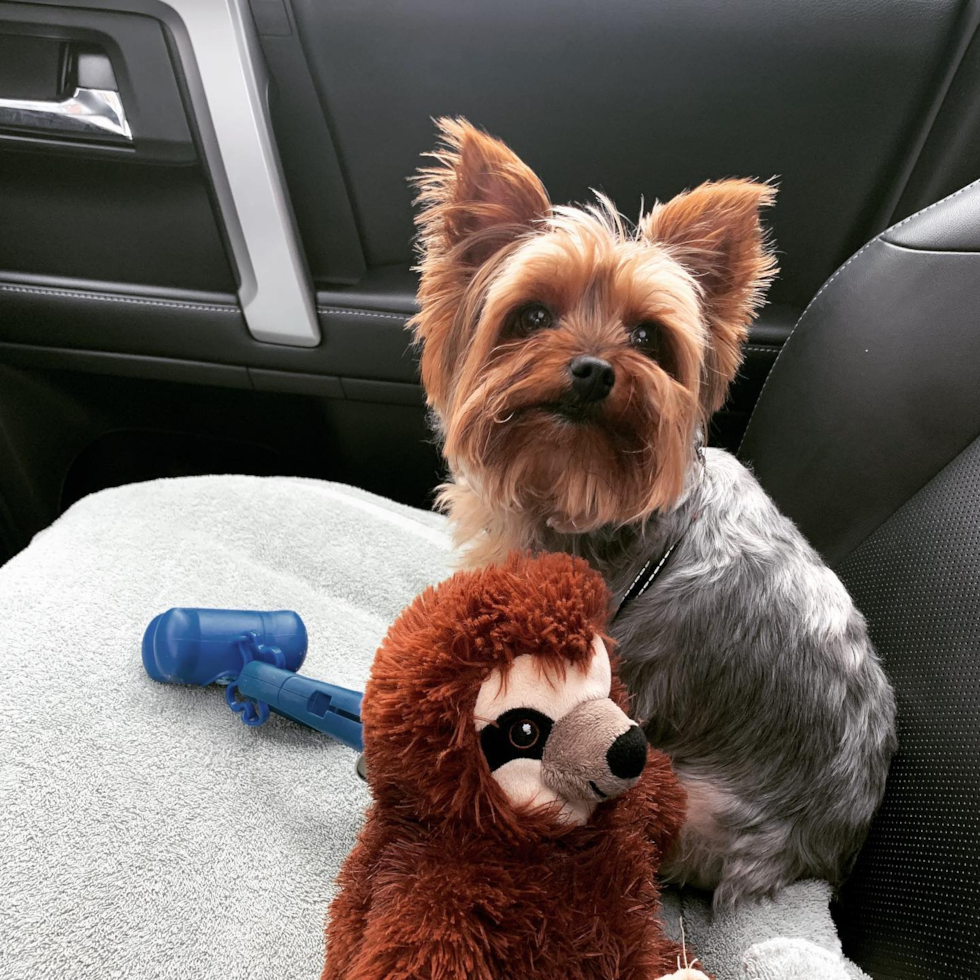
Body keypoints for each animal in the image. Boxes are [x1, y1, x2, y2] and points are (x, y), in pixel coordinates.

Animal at [410, 118, 900, 908]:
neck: (581, 487)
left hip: (697, 802)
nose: (592, 368)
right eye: (532, 314)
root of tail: (830, 856)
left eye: (647, 336)